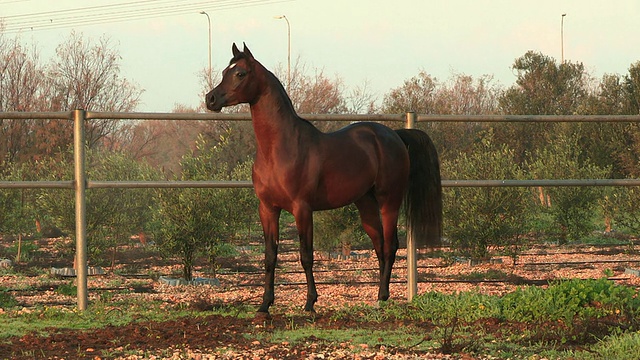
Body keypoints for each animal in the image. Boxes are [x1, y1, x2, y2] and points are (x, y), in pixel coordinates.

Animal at [205, 43, 440, 316]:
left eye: (240, 73)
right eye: (225, 71)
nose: (211, 99)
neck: (279, 148)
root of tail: (394, 135)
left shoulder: (302, 209)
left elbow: (306, 255)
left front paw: (310, 303)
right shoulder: (267, 209)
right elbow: (270, 256)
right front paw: (264, 305)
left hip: (389, 201)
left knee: (391, 246)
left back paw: (383, 296)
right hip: (366, 204)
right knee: (379, 246)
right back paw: (379, 298)